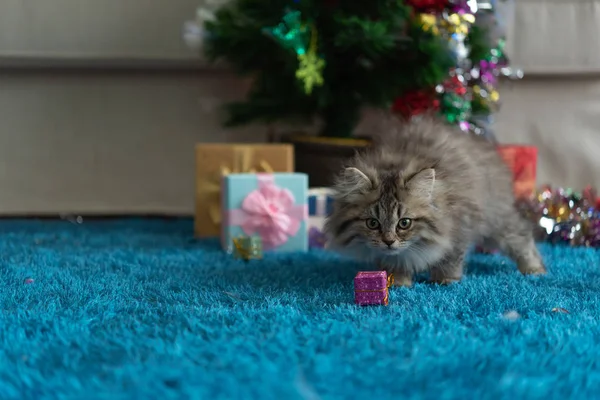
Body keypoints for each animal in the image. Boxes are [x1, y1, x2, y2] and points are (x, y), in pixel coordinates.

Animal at [326, 116, 548, 288]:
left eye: (404, 223)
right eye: (372, 223)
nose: (388, 241)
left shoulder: (460, 226)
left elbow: (450, 258)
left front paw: (445, 280)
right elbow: (395, 262)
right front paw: (398, 281)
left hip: (496, 220)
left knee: (522, 235)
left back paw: (534, 268)